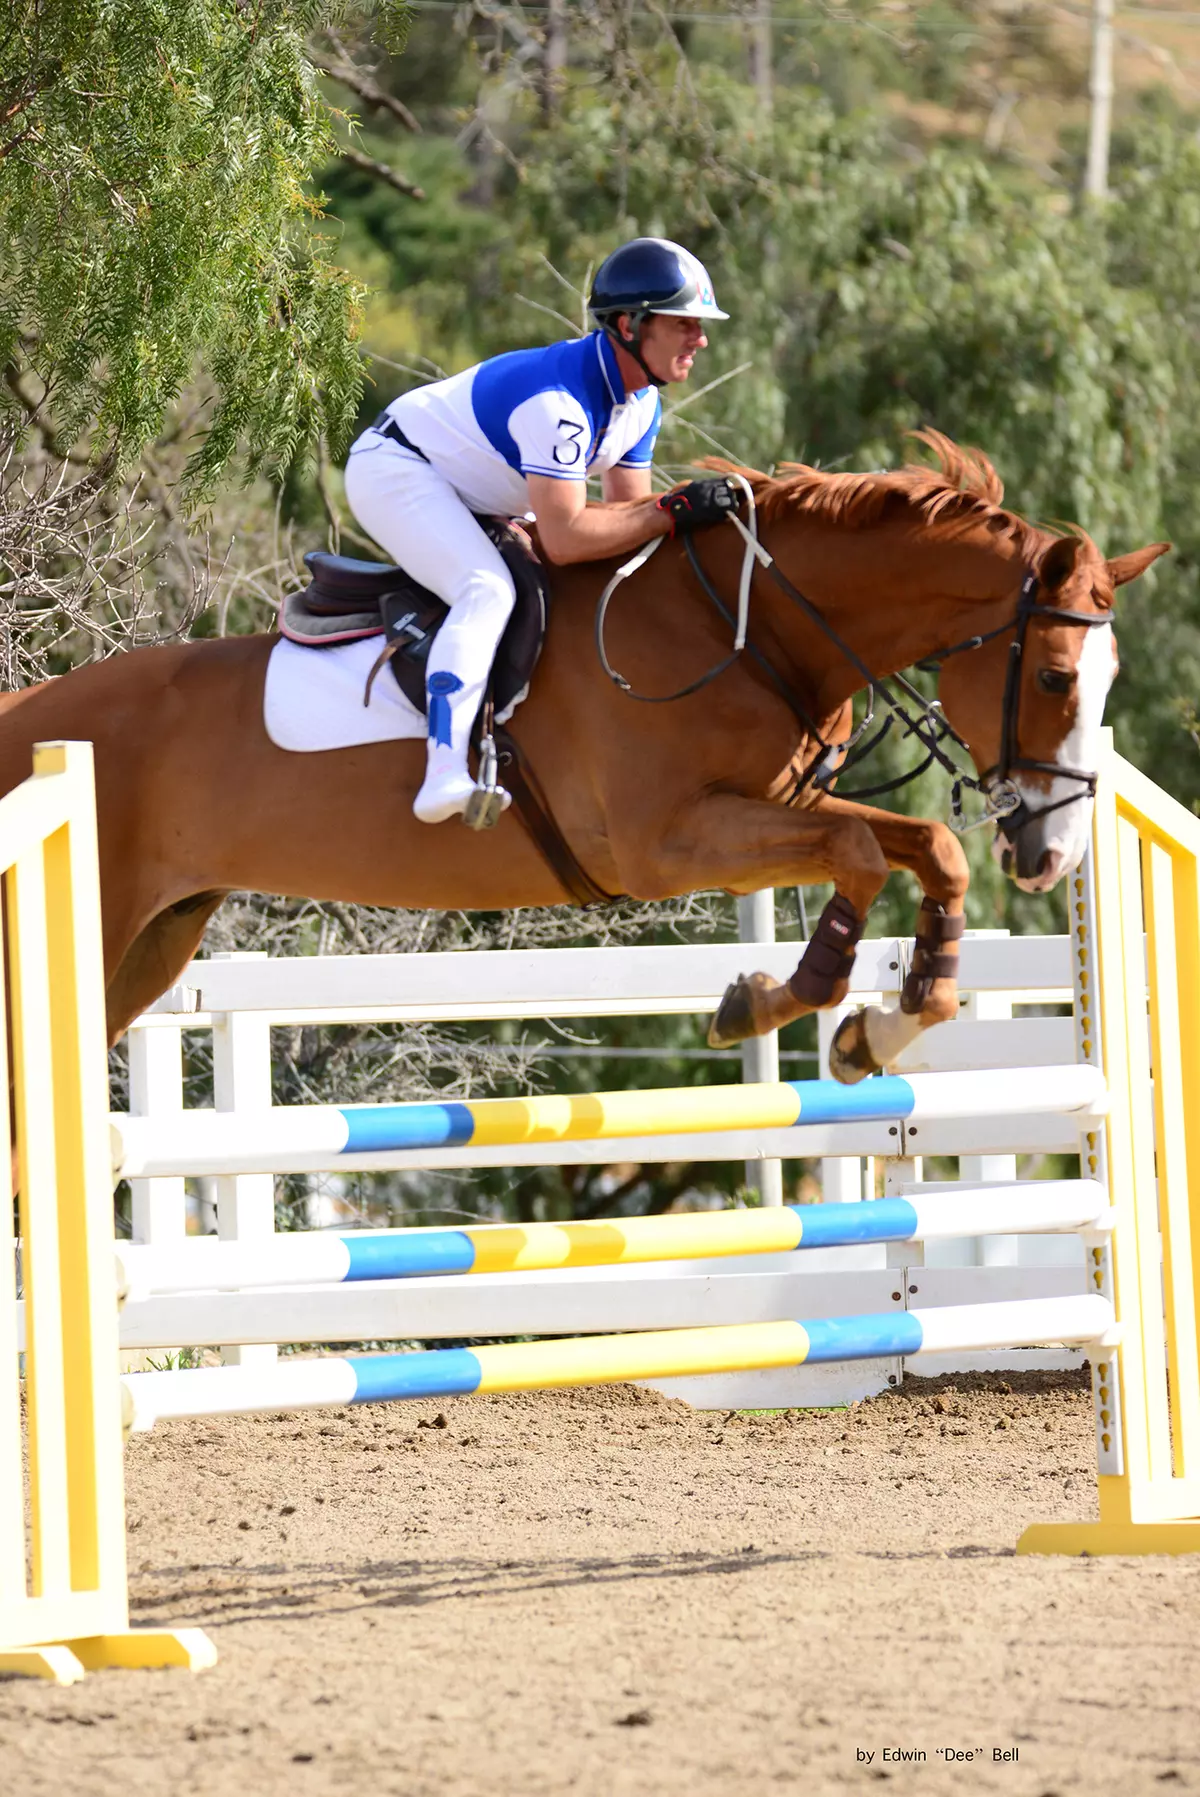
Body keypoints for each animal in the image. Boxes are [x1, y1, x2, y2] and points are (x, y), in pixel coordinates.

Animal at [0, 434, 1164, 1078]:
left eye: (1108, 682)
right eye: (1055, 677)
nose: (1052, 855)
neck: (746, 626)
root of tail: (28, 714)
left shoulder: (766, 807)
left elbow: (923, 847)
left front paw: (885, 1025)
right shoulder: (667, 845)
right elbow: (864, 854)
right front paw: (777, 999)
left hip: (150, 945)